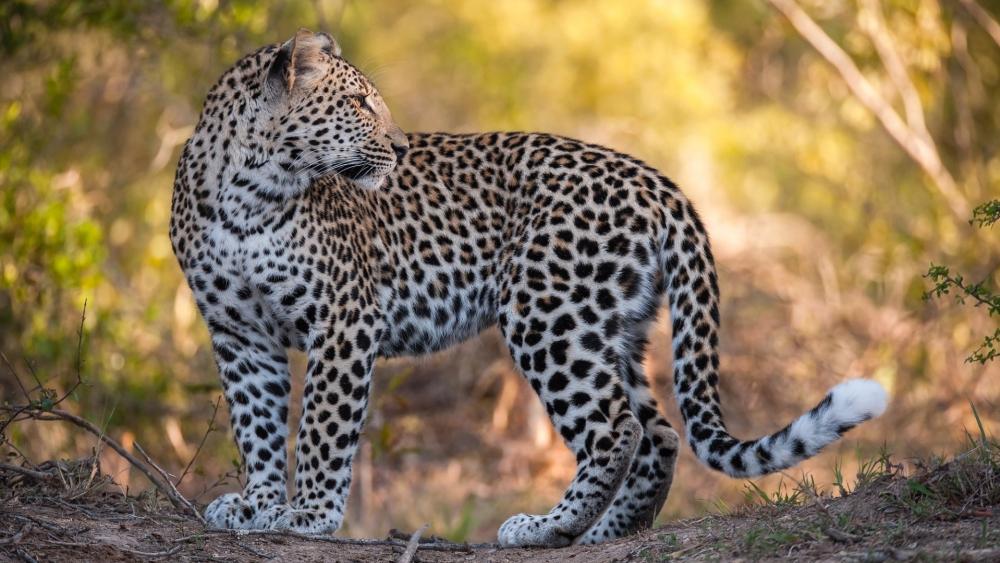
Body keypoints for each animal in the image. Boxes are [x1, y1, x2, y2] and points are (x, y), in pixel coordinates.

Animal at [169, 29, 888, 548]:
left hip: (549, 311)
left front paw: (310, 513)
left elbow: (322, 422)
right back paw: (599, 533)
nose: (399, 147)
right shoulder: (238, 332)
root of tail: (657, 180)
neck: (248, 192)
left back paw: (546, 525)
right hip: (611, 323)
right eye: (358, 104)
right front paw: (259, 505)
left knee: (616, 427)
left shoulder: (345, 318)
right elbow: (256, 424)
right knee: (658, 433)